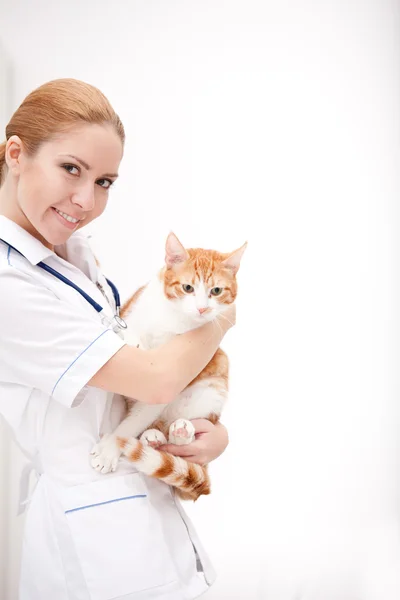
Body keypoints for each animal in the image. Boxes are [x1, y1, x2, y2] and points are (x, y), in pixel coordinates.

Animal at [91, 232, 245, 500]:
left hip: (216, 375)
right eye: (187, 288)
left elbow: (133, 421)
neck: (173, 317)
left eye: (216, 291)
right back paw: (153, 437)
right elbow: (129, 329)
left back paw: (177, 432)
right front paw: (134, 339)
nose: (202, 308)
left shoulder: (174, 374)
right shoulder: (132, 310)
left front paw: (111, 447)